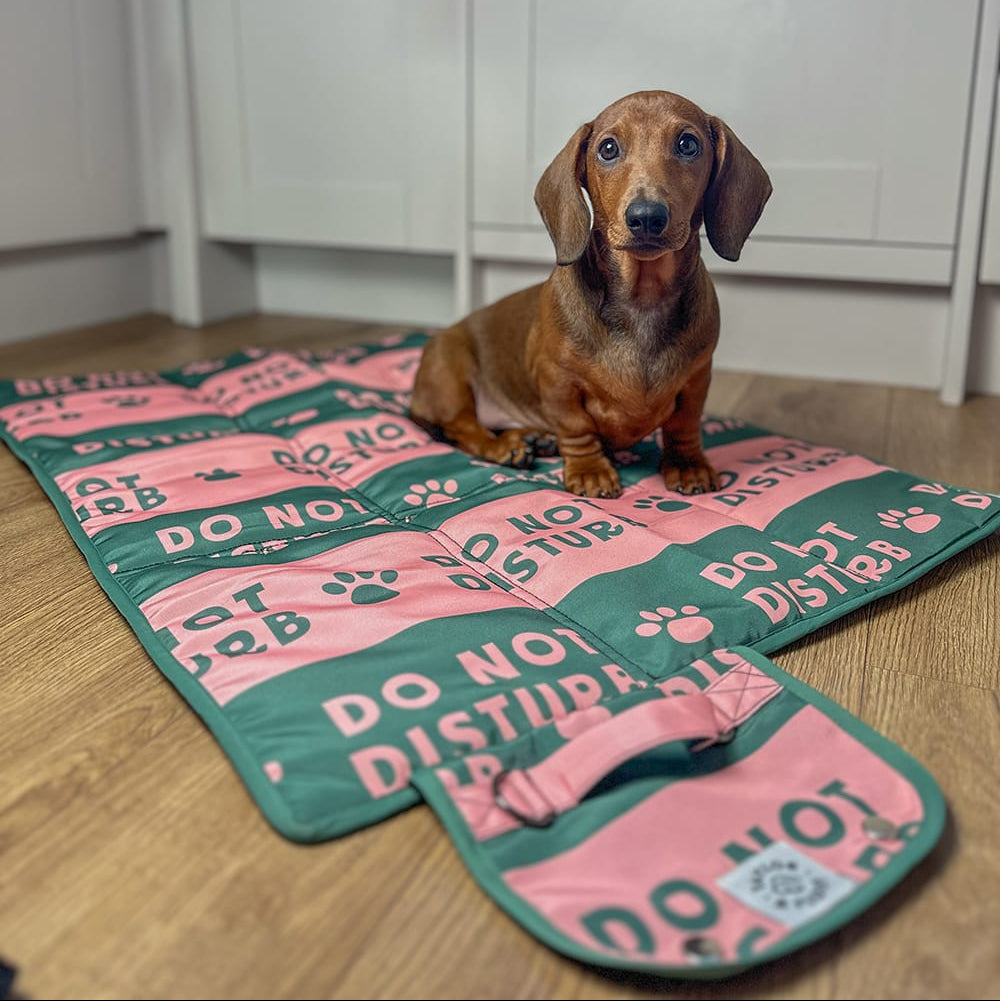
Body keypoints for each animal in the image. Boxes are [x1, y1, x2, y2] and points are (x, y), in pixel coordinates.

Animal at [410, 92, 768, 498]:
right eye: (608, 148)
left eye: (688, 144)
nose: (646, 217)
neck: (642, 297)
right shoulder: (558, 382)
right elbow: (576, 427)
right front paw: (590, 471)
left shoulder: (696, 379)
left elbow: (684, 424)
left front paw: (687, 464)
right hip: (449, 377)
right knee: (463, 429)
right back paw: (505, 448)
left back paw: (529, 437)